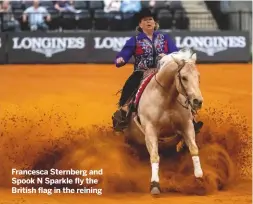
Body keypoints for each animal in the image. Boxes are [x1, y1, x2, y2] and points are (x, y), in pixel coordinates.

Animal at [113, 48, 205, 196]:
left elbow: (194, 149)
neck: (167, 99)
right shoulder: (150, 130)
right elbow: (155, 156)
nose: (198, 101)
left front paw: (199, 178)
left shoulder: (187, 125)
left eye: (198, 76)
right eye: (184, 77)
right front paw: (155, 185)